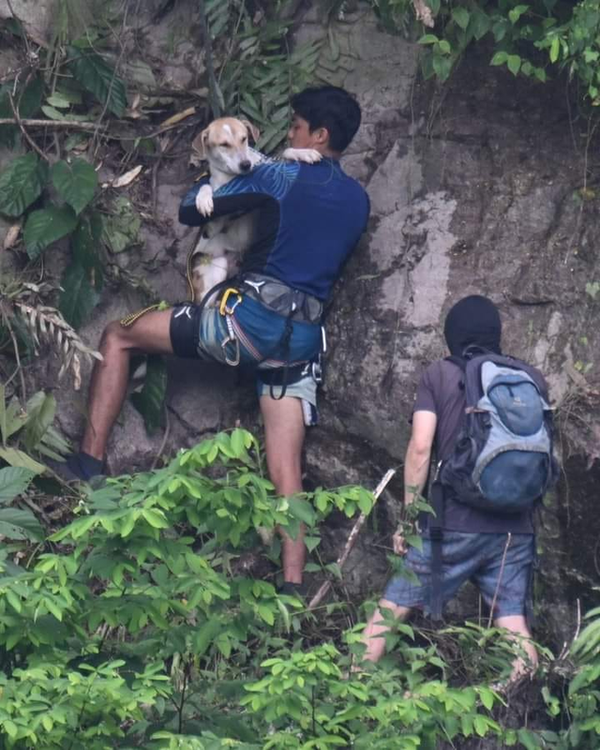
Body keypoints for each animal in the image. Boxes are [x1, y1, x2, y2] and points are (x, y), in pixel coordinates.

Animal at [191, 116, 324, 304]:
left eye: (244, 138)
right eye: (223, 144)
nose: (246, 164)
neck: (235, 177)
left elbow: (284, 153)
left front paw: (303, 153)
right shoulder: (215, 224)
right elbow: (207, 187)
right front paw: (203, 198)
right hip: (218, 266)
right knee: (206, 302)